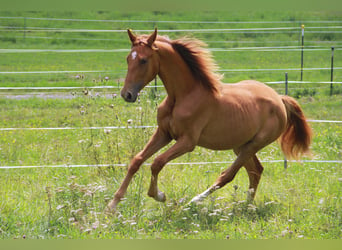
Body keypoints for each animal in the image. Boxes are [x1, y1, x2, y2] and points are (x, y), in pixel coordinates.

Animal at [105, 28, 312, 213]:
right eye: (128, 58)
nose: (127, 94)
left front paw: (159, 196)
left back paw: (195, 201)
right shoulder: (164, 133)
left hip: (254, 144)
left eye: (143, 60)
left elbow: (157, 162)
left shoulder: (187, 142)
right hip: (241, 145)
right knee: (256, 171)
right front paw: (112, 205)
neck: (183, 96)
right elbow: (137, 160)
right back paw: (247, 206)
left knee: (228, 175)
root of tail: (279, 99)